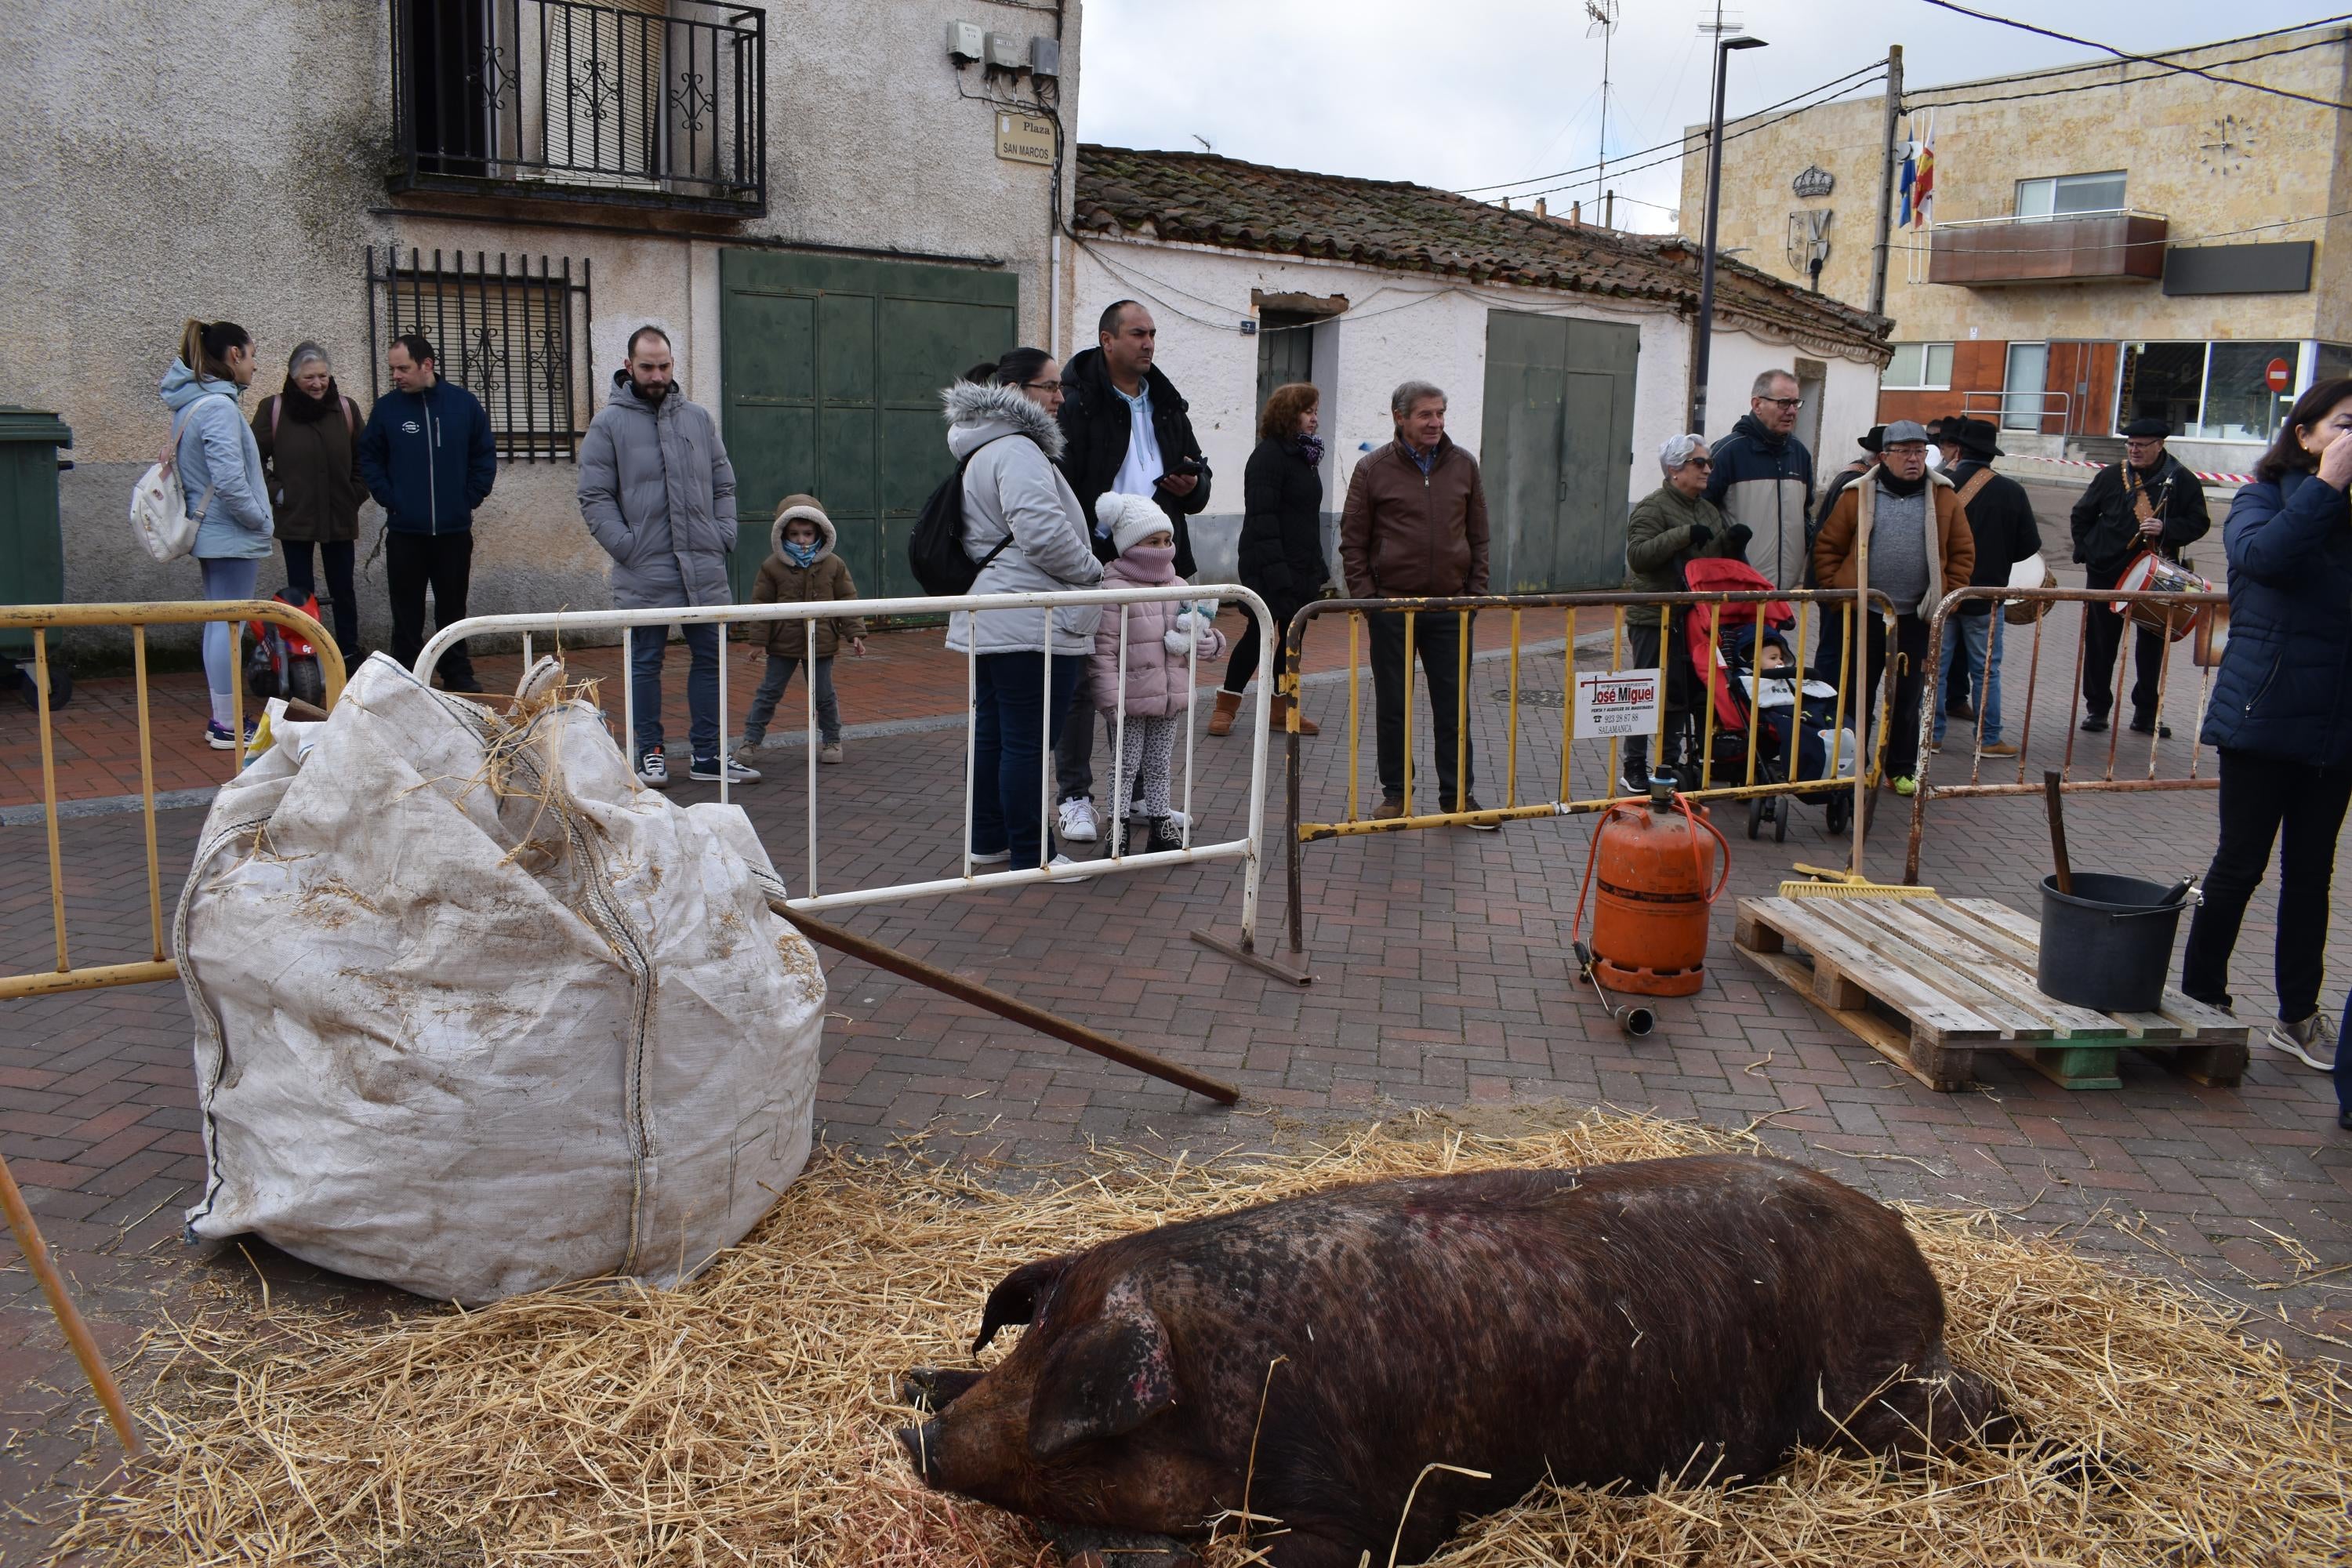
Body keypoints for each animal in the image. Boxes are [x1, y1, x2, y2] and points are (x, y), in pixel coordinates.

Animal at [898, 1152, 2004, 1568]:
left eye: (1076, 1416)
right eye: (1033, 1337)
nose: (921, 1441)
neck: (1227, 1387)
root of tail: (1908, 1248)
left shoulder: (1380, 1512)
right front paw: (914, 1379)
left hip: (1880, 1388)